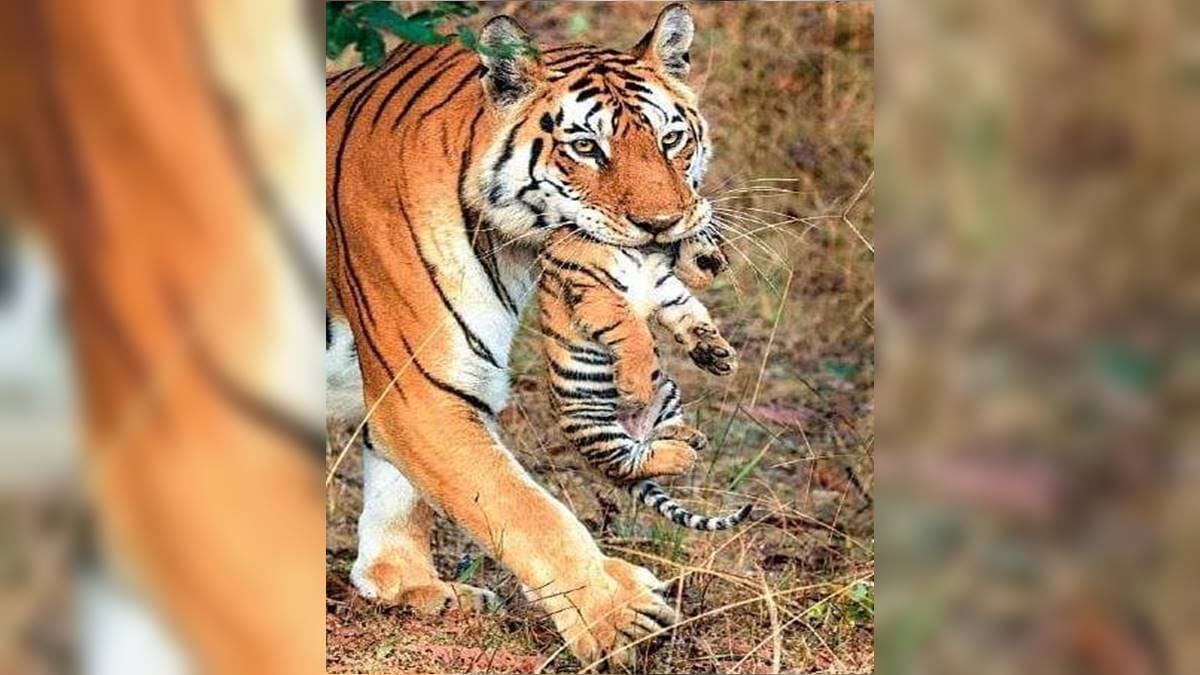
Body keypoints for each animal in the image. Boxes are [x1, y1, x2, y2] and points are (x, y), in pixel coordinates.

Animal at [537, 227, 751, 531]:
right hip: (593, 426)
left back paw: (690, 438)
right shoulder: (595, 293)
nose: (725, 263)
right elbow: (632, 330)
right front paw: (636, 387)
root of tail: (633, 429)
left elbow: (694, 318)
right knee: (629, 462)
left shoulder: (669, 294)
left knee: (653, 437)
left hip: (667, 392)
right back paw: (682, 454)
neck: (652, 250)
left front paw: (719, 356)